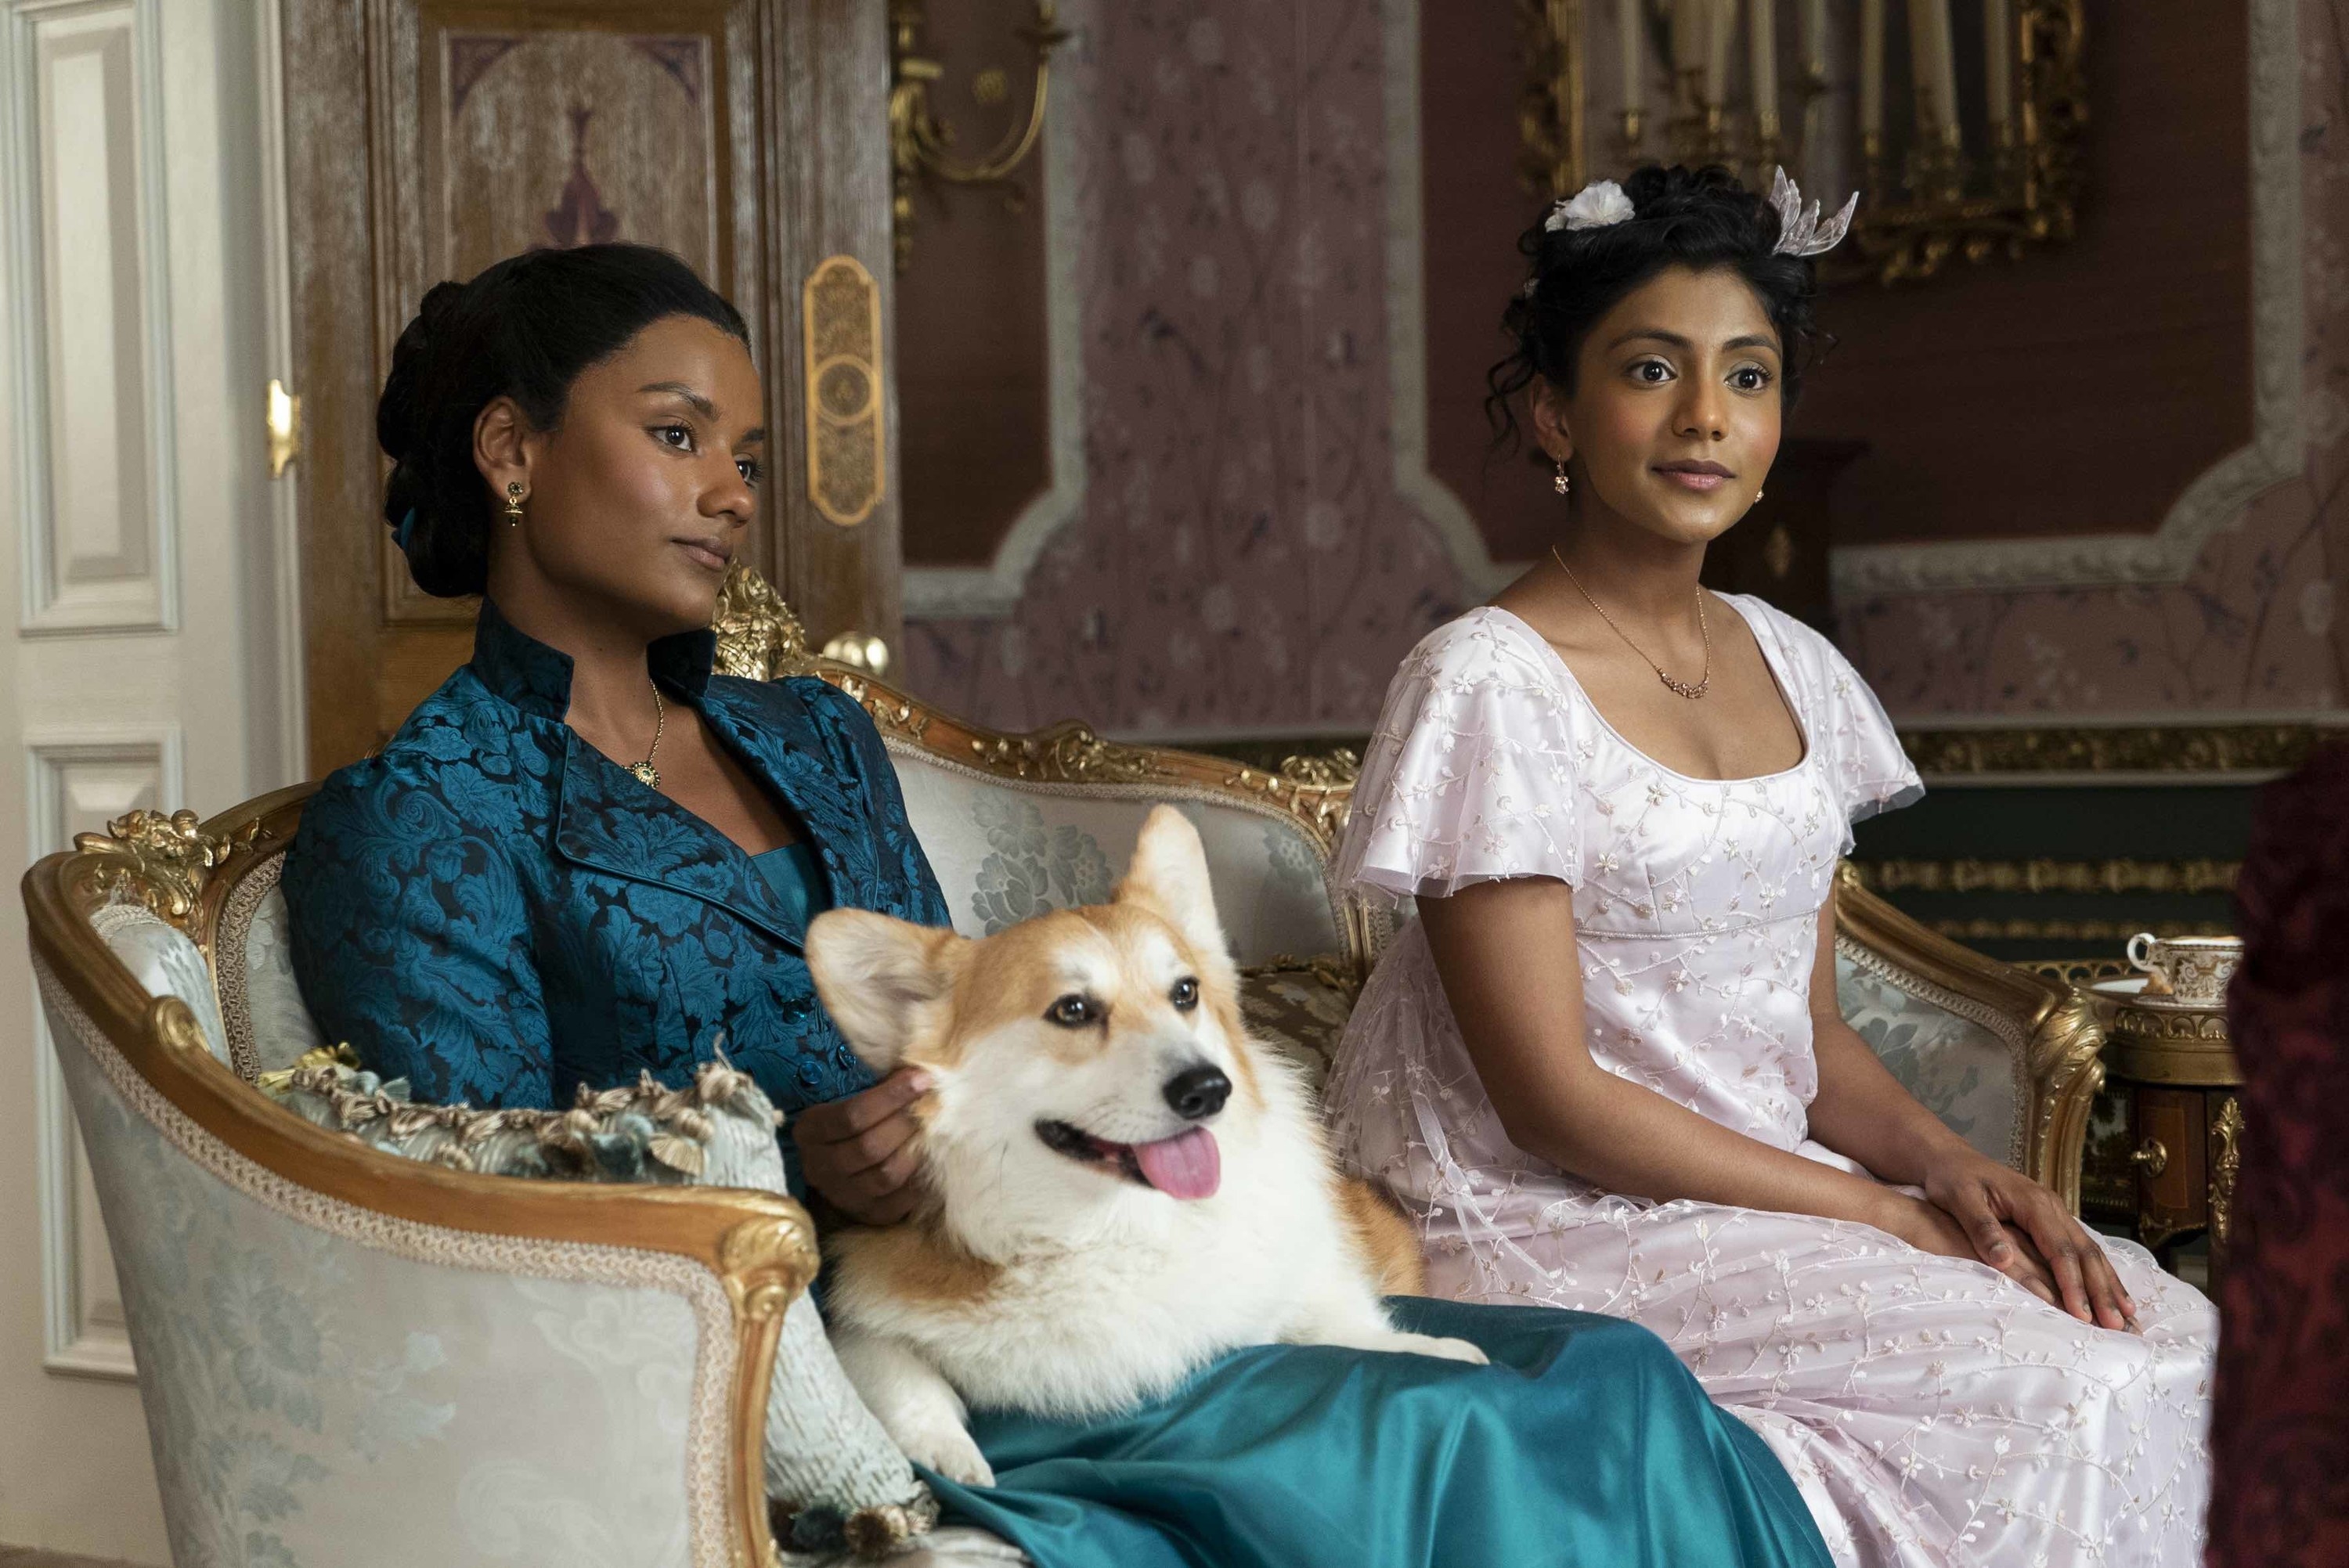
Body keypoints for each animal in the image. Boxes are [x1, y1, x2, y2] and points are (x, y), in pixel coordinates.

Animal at [799, 807, 1475, 1483]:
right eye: (1072, 1009)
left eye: (1185, 993)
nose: (1210, 1088)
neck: (1118, 1225)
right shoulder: (864, 1319)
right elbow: (896, 1370)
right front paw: (951, 1453)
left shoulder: (1304, 1277)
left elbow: (1343, 1318)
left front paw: (1435, 1349)